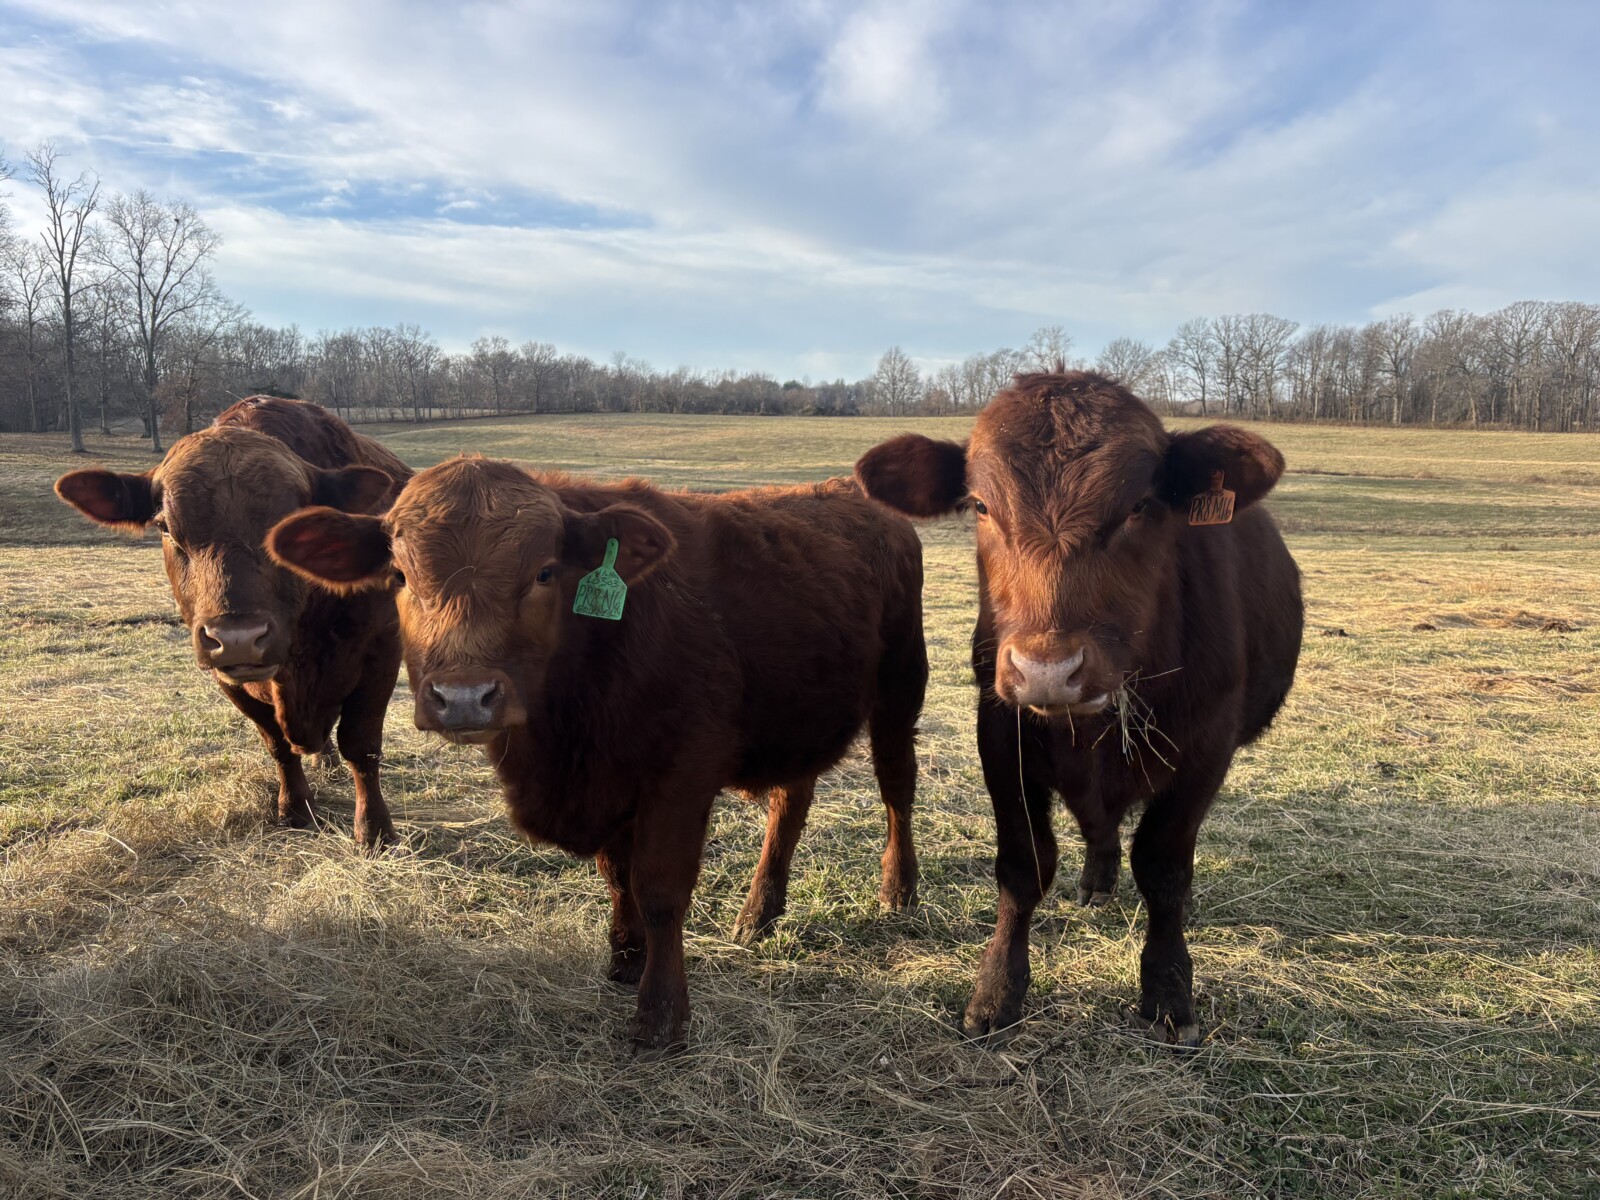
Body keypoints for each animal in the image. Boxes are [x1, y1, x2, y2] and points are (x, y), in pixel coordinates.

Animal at [54, 398, 412, 848]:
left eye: (289, 529)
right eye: (165, 527)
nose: (238, 638)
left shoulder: (380, 650)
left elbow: (361, 745)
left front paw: (375, 831)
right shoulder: (226, 677)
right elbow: (276, 744)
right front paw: (295, 807)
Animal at [265, 457, 927, 1052]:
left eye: (545, 572)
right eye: (399, 576)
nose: (464, 698)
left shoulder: (679, 777)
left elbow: (659, 890)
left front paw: (660, 1013)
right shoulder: (608, 781)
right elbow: (618, 876)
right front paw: (625, 958)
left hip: (901, 690)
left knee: (897, 788)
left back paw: (898, 890)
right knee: (791, 801)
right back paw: (759, 911)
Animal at [855, 370, 1303, 1047]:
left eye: (1141, 504)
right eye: (981, 506)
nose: (1048, 670)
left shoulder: (1206, 751)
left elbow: (1164, 868)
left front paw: (1169, 991)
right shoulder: (1002, 736)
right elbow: (1024, 864)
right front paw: (997, 990)